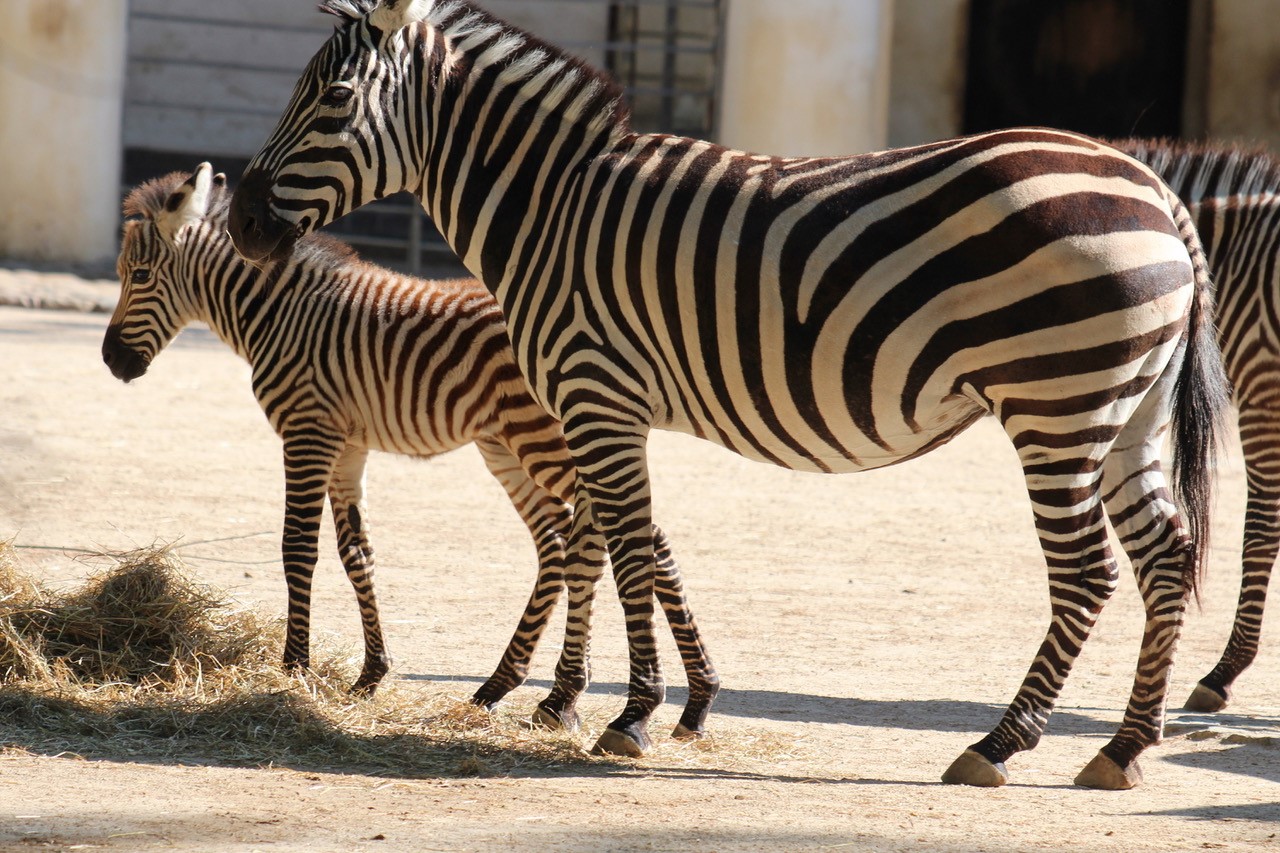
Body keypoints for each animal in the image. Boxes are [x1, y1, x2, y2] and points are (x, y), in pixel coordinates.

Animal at [101, 163, 718, 731]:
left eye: (139, 273)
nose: (111, 361)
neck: (277, 314)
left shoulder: (306, 431)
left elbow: (297, 548)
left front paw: (294, 668)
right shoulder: (346, 446)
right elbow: (358, 554)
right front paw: (370, 673)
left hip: (547, 438)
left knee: (637, 538)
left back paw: (663, 697)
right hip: (505, 446)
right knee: (560, 544)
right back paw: (524, 688)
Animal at [225, 0, 1230, 789]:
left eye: (334, 99)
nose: (240, 221)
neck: (548, 208)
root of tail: (1154, 188)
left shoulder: (596, 393)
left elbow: (625, 548)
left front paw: (628, 713)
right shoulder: (600, 409)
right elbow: (617, 544)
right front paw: (621, 701)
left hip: (1056, 401)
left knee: (1089, 572)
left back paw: (1000, 744)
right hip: (1125, 412)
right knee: (1165, 555)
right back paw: (1125, 748)